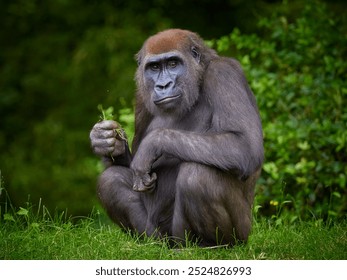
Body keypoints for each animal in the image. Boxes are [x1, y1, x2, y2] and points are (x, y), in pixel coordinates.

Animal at [89, 28, 264, 246]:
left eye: (173, 63)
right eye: (154, 67)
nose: (163, 85)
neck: (199, 75)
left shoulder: (224, 73)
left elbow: (244, 145)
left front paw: (152, 144)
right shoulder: (141, 95)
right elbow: (129, 165)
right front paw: (107, 141)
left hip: (240, 234)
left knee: (197, 175)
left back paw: (208, 246)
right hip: (160, 236)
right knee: (110, 180)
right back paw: (152, 244)